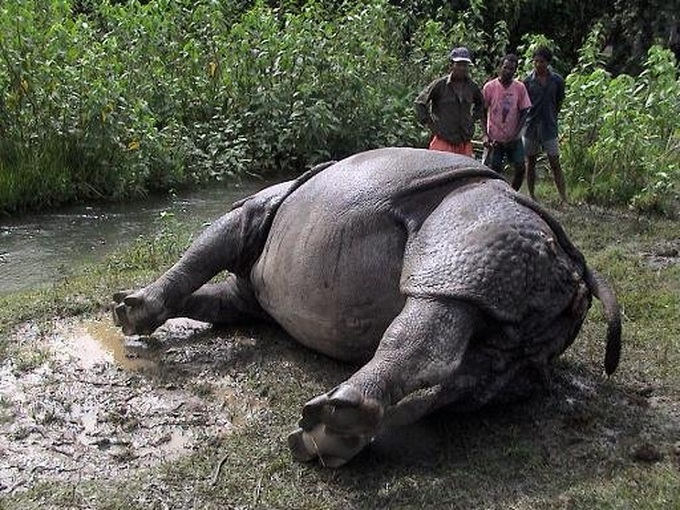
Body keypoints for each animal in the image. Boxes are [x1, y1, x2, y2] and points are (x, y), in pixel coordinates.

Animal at [112, 147, 621, 467]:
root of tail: (576, 266)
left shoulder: (250, 213)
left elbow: (202, 251)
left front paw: (130, 309)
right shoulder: (247, 301)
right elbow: (208, 296)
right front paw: (128, 304)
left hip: (477, 227)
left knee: (436, 302)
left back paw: (326, 426)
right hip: (518, 284)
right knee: (478, 372)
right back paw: (329, 438)